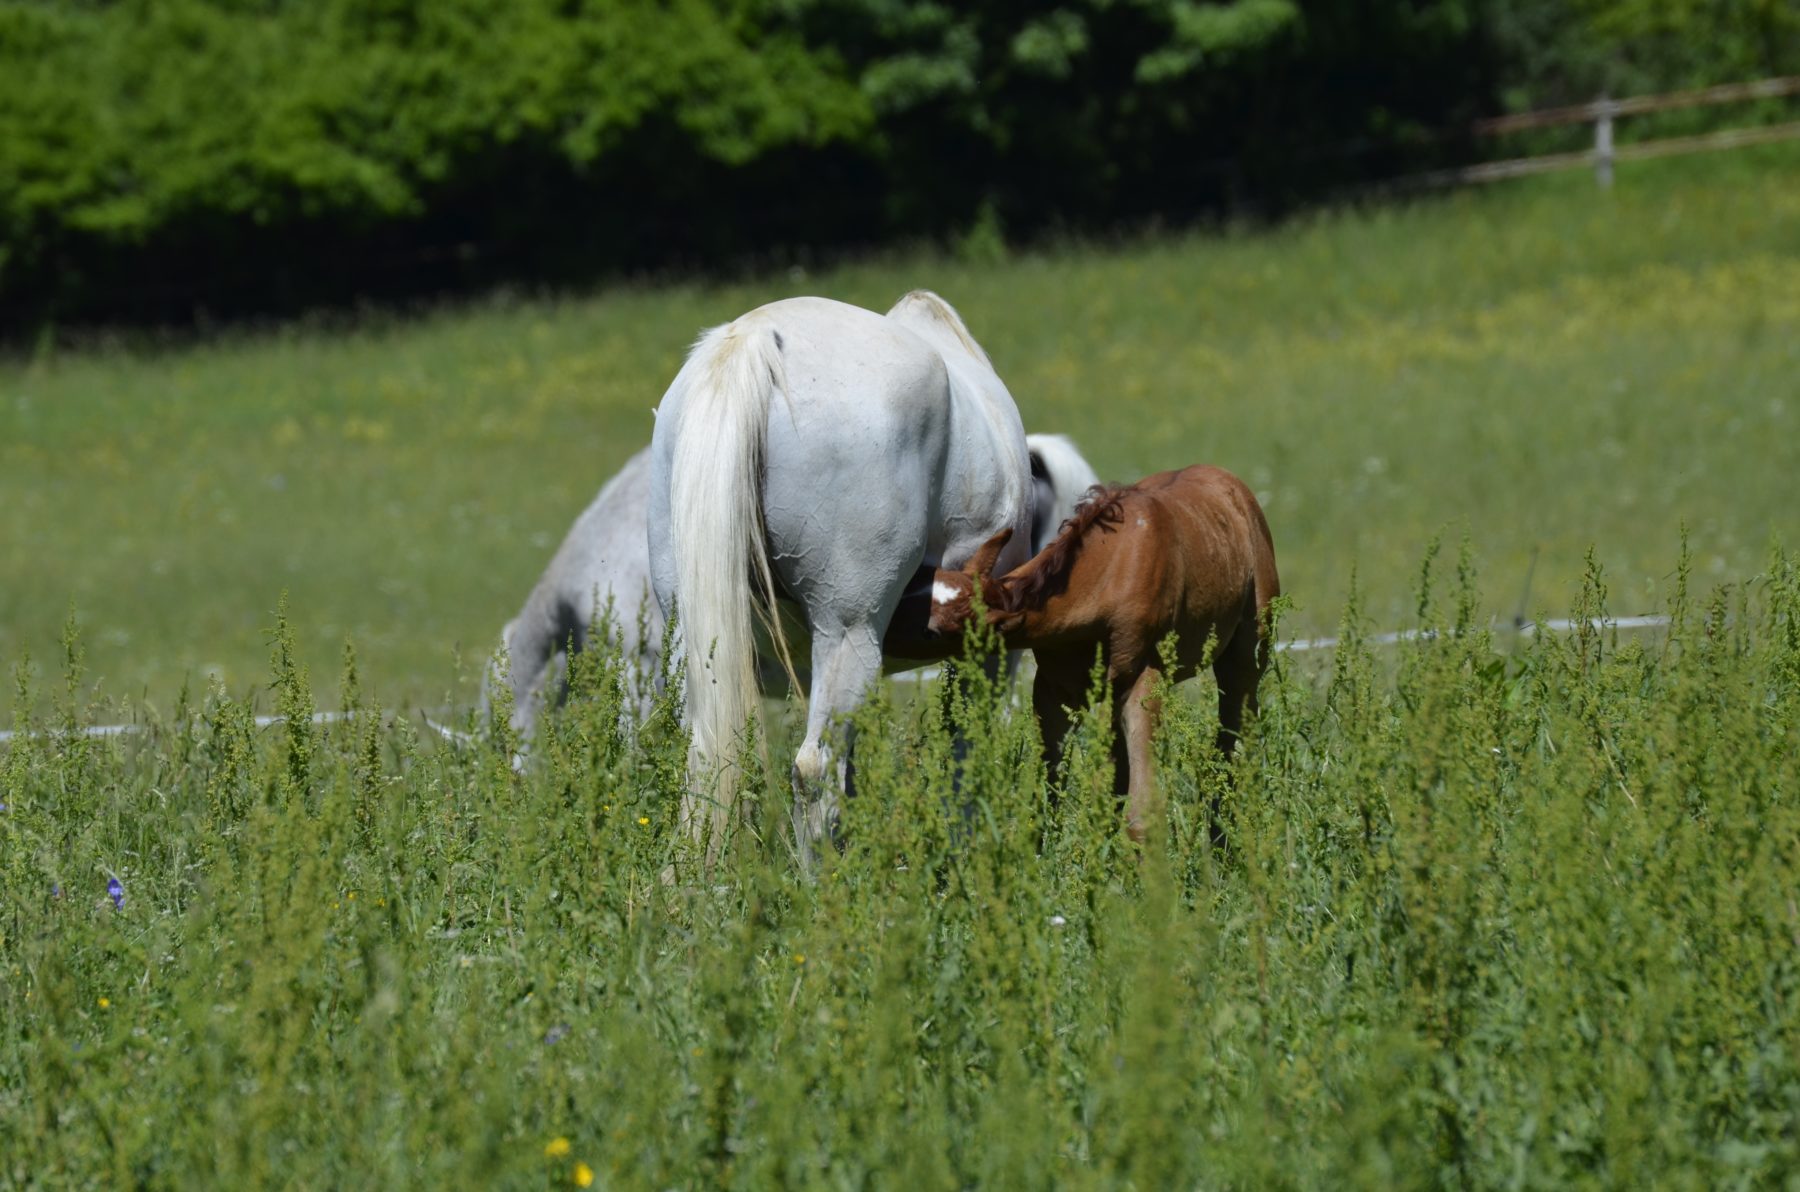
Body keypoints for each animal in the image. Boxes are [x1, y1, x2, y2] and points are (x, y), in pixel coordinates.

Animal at [651, 293, 1044, 864]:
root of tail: (757, 337)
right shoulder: (985, 654)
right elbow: (964, 759)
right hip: (848, 634)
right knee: (813, 770)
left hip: (696, 641)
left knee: (710, 763)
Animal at [928, 460, 1281, 846]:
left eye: (940, 631)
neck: (1111, 570)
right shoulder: (1054, 690)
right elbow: (1048, 801)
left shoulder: (1141, 680)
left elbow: (1142, 815)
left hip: (1245, 657)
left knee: (1237, 742)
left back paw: (1225, 843)